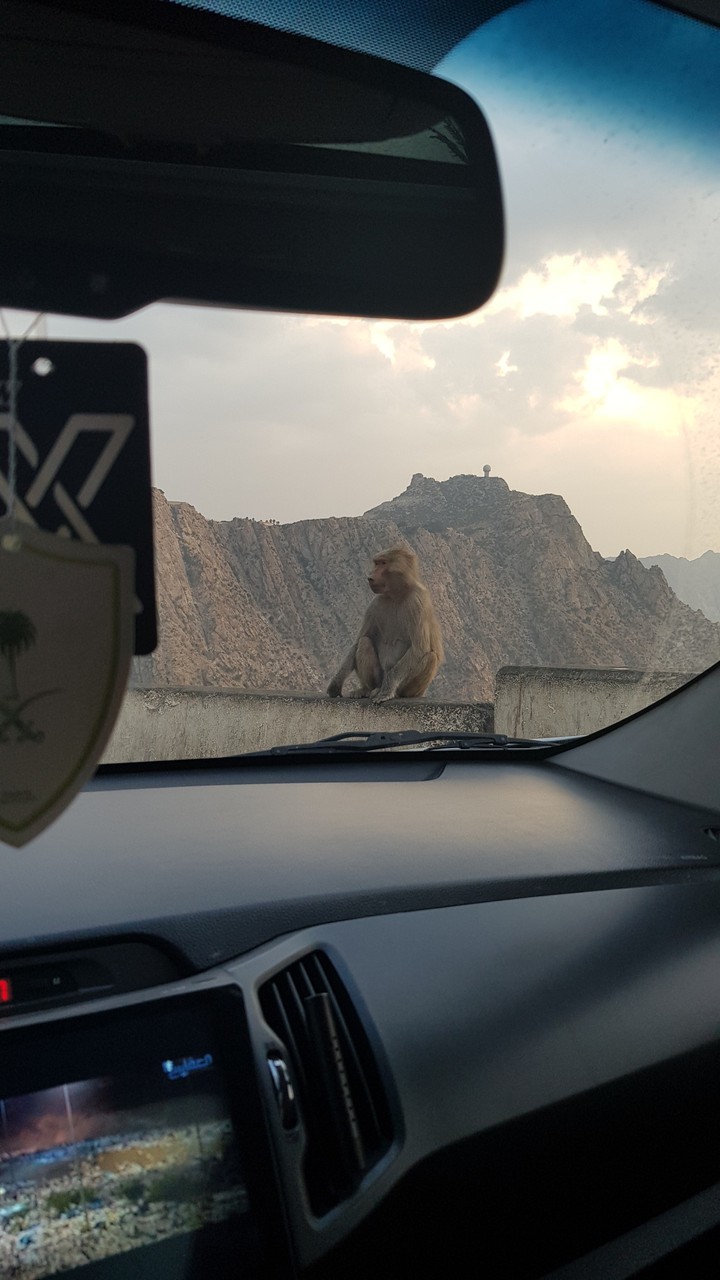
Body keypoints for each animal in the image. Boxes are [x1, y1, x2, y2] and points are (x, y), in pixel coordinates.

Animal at [327, 546, 443, 701]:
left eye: (383, 563)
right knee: (364, 642)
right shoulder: (374, 605)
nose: (370, 577)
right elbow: (358, 642)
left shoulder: (417, 601)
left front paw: (387, 691)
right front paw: (336, 684)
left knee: (430, 657)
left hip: (410, 687)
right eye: (376, 563)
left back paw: (394, 692)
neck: (396, 594)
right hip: (379, 679)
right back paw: (367, 689)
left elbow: (419, 648)